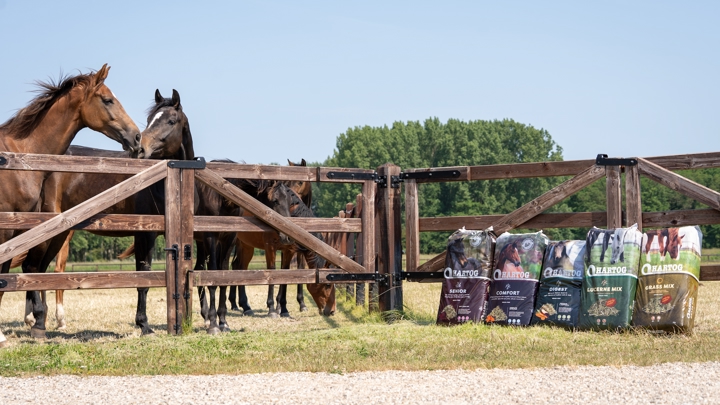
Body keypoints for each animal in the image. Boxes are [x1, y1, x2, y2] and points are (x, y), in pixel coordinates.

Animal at [20, 88, 194, 334]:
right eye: (150, 119)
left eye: (171, 121)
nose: (140, 149)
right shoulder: (145, 234)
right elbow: (144, 277)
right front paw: (143, 324)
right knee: (32, 266)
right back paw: (37, 321)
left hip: (59, 234)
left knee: (39, 269)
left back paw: (39, 320)